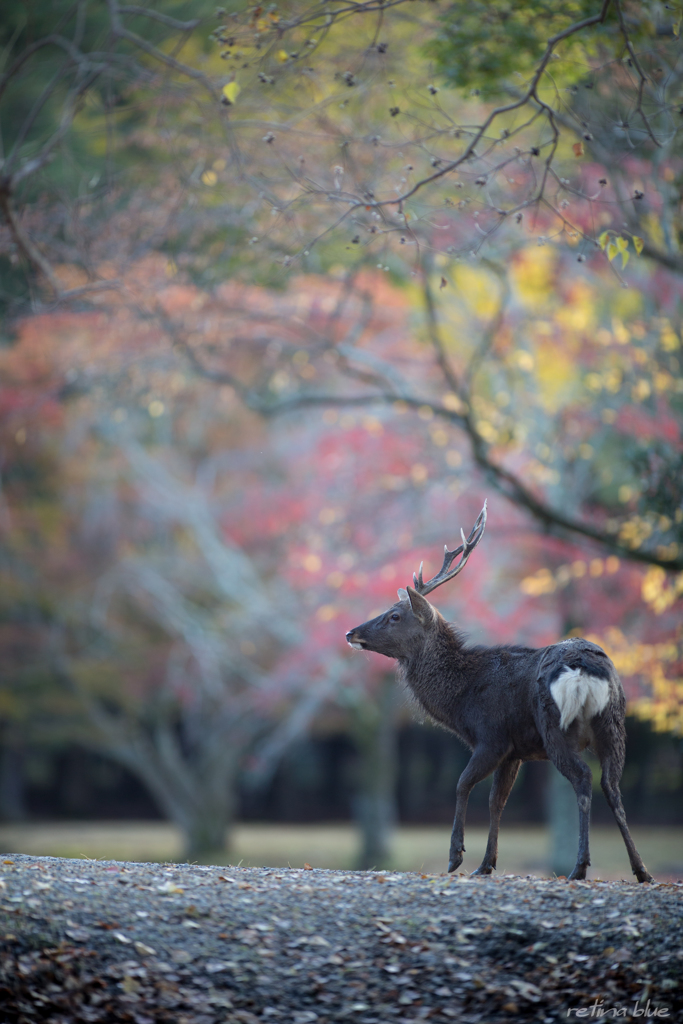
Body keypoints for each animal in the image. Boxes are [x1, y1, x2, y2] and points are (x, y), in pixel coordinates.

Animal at [344, 499, 655, 884]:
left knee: (584, 778)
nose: (351, 632)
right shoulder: (514, 750)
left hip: (556, 727)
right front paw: (485, 863)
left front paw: (456, 857)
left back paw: (579, 867)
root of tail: (585, 667)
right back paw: (641, 870)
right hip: (613, 725)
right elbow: (497, 802)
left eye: (394, 616)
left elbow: (462, 784)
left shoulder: (491, 737)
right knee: (612, 786)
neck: (460, 701)